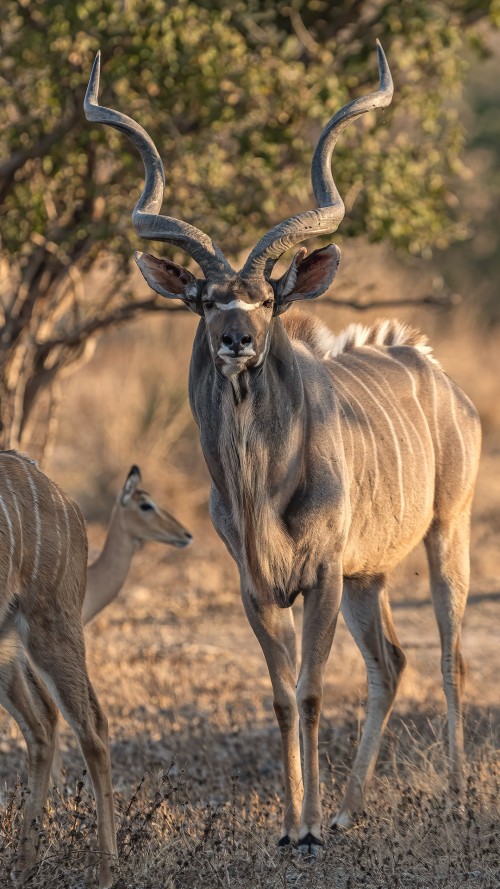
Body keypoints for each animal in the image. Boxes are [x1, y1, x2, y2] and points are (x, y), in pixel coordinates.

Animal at [86, 45, 480, 848]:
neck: (263, 482)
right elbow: (277, 695)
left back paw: (454, 801)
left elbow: (311, 691)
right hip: (370, 576)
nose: (238, 339)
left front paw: (310, 830)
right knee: (393, 661)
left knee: (450, 656)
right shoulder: (258, 585)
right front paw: (295, 823)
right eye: (206, 300)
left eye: (267, 298)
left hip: (443, 535)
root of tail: (436, 373)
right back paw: (349, 808)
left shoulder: (321, 574)